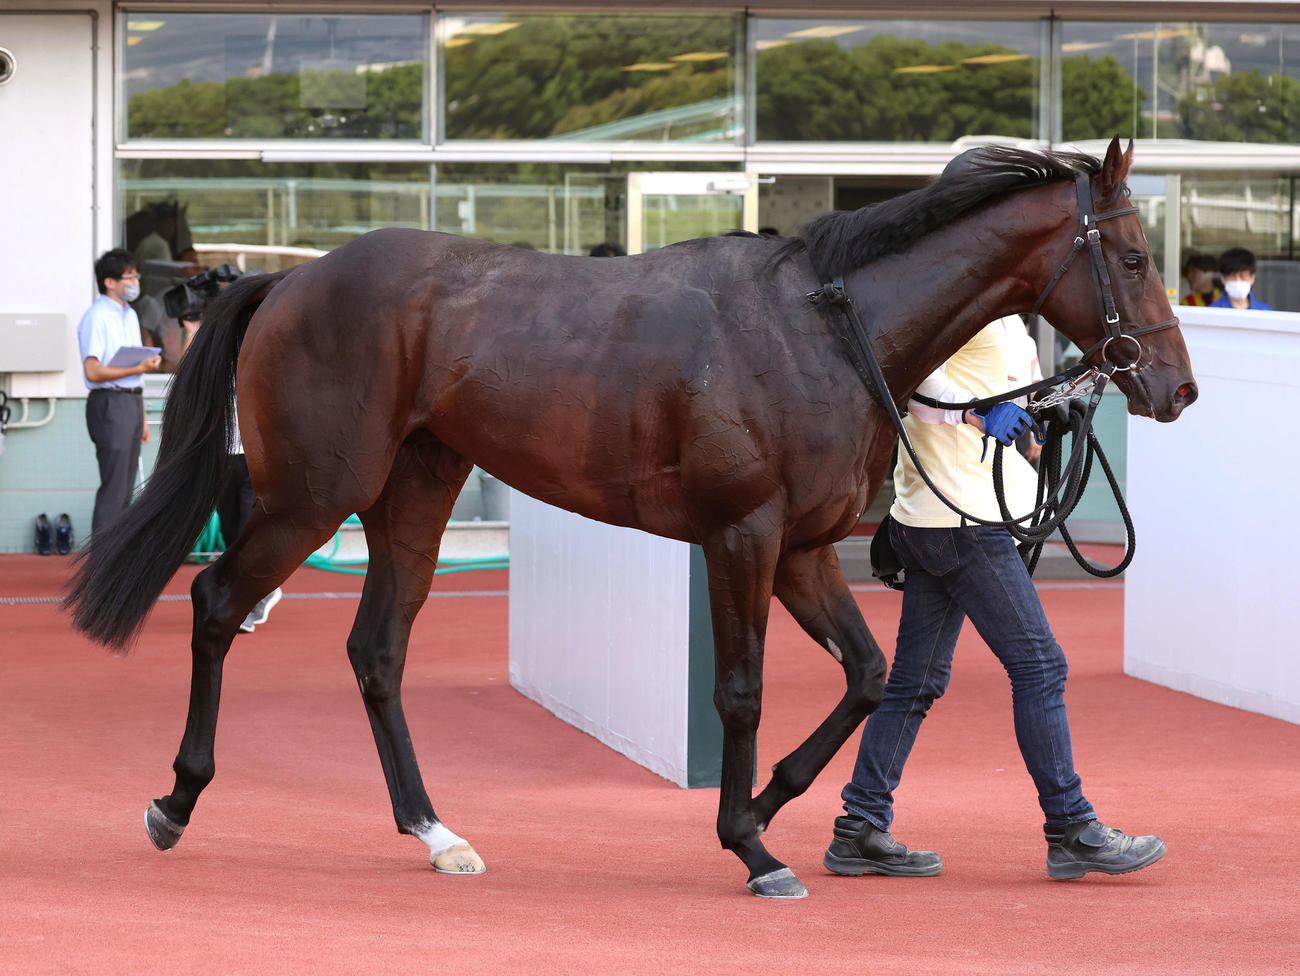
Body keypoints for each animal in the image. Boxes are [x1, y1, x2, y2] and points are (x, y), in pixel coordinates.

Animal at [66, 136, 1196, 899]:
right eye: (1135, 258)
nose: (1176, 388)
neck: (826, 331)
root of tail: (290, 278)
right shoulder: (743, 537)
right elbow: (740, 691)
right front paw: (750, 841)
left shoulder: (802, 550)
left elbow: (871, 675)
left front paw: (768, 806)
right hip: (313, 490)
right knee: (218, 602)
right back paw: (176, 800)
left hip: (415, 491)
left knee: (377, 650)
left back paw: (435, 832)